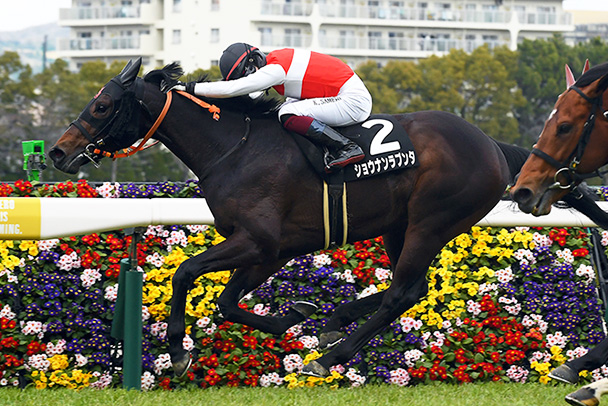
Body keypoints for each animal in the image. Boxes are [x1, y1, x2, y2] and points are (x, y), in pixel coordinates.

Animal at [48, 58, 602, 378]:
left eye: (102, 106)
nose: (57, 152)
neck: (234, 148)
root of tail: (491, 144)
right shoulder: (270, 250)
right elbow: (226, 303)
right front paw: (293, 315)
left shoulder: (258, 241)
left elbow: (185, 273)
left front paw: (180, 352)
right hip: (400, 227)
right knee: (411, 289)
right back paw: (334, 323)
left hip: (431, 221)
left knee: (402, 293)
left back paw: (329, 355)